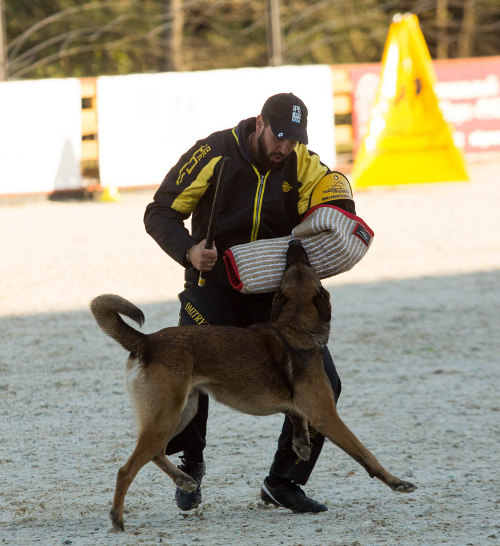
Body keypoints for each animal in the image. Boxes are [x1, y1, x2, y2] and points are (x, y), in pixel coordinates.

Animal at [91, 238, 418, 528]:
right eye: (301, 264)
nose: (295, 242)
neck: (295, 326)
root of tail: (147, 341)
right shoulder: (327, 417)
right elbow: (365, 453)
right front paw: (396, 482)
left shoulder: (301, 407)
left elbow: (296, 421)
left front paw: (300, 444)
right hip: (166, 416)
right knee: (126, 469)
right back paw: (118, 518)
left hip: (183, 410)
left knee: (157, 453)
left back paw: (184, 481)